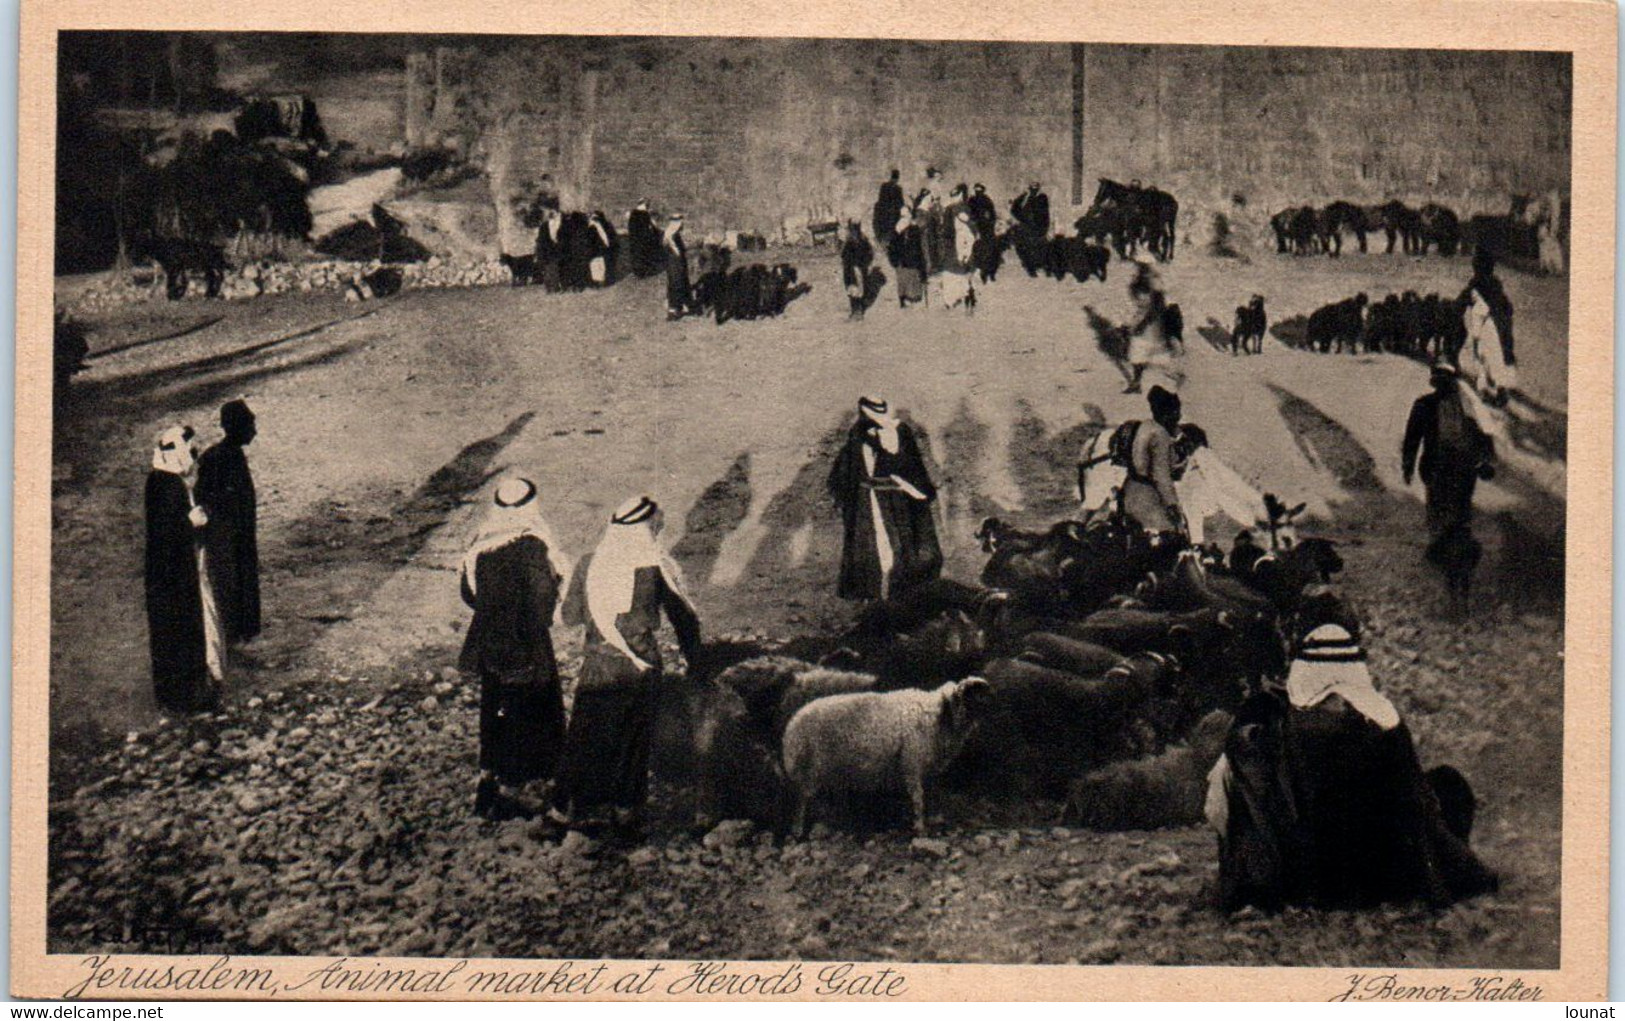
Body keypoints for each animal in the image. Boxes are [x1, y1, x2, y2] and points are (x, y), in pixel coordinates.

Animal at [776, 673, 988, 832]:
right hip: (810, 769)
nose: (982, 727)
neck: (939, 715)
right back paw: (798, 831)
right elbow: (917, 795)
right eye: (972, 699)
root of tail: (790, 730)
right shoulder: (911, 762)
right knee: (801, 800)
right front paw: (919, 826)